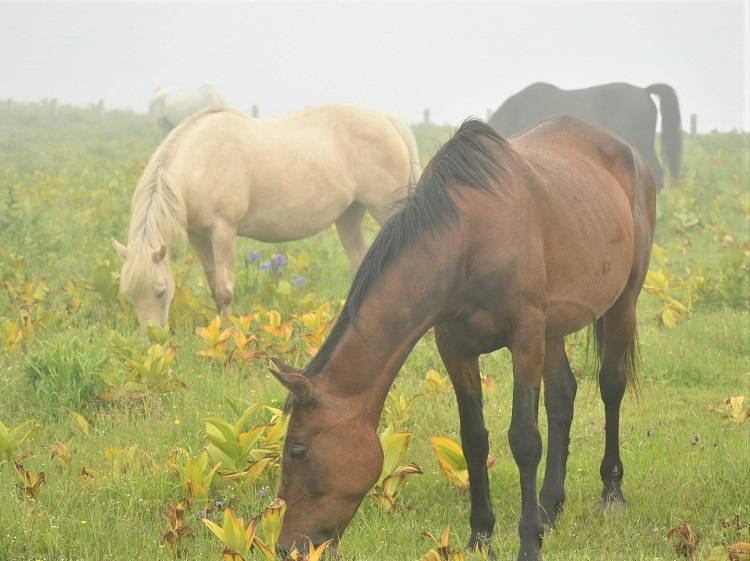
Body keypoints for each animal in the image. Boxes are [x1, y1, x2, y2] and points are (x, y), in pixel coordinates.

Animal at [116, 104, 424, 328]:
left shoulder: (223, 231)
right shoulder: (198, 237)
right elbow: (214, 286)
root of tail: (386, 119)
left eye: (160, 291)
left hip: (385, 211)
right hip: (348, 217)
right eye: (129, 294)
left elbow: (225, 289)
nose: (153, 339)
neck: (199, 163)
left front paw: (227, 330)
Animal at [270, 116, 656, 556]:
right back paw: (549, 506)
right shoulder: (455, 346)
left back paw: (611, 492)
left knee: (611, 385)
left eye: (298, 451)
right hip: (554, 328)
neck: (468, 240)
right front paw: (480, 538)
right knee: (562, 397)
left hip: (622, 303)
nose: (286, 546)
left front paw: (529, 543)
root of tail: (630, 153)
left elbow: (524, 440)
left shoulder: (525, 337)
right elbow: (474, 438)